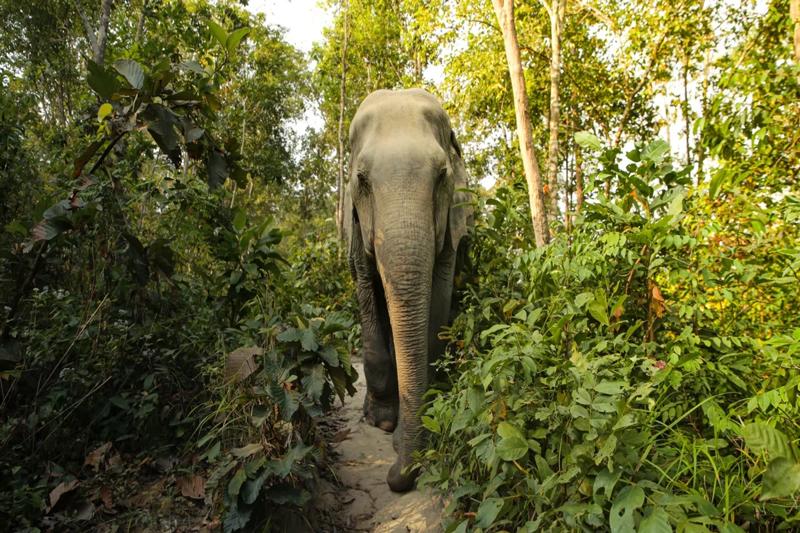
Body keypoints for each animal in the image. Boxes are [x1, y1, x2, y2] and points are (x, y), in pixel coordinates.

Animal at [343, 89, 471, 492]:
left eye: (442, 176)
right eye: (362, 180)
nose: (393, 475)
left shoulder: (453, 224)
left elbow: (438, 300)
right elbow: (366, 285)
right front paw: (383, 421)